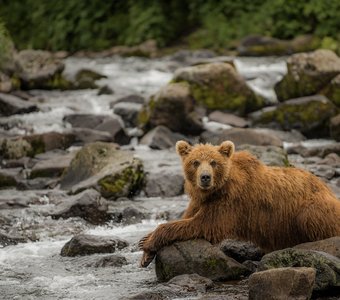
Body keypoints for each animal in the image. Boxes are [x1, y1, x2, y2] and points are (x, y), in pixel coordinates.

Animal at [138, 141, 340, 268]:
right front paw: (145, 251)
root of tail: (328, 189)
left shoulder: (230, 203)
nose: (205, 177)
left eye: (213, 162)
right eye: (195, 162)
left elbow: (202, 224)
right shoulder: (200, 201)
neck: (215, 190)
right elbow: (188, 217)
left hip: (311, 209)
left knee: (312, 220)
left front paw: (147, 242)